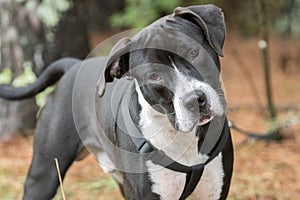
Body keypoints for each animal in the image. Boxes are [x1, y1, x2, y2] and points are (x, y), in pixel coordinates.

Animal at [0, 4, 233, 200]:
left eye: (194, 52)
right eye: (155, 76)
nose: (195, 100)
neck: (181, 137)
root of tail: (74, 65)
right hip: (44, 174)